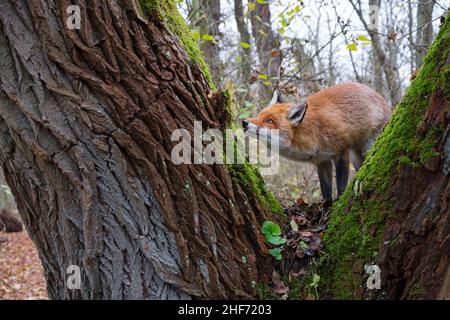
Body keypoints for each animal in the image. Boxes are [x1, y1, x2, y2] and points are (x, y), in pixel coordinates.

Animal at [243, 83, 390, 202]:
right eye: (259, 115)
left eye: (269, 121)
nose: (243, 122)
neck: (313, 131)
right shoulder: (321, 161)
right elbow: (325, 190)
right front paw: (326, 207)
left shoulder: (341, 151)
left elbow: (341, 183)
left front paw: (339, 201)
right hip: (356, 158)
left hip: (367, 149)